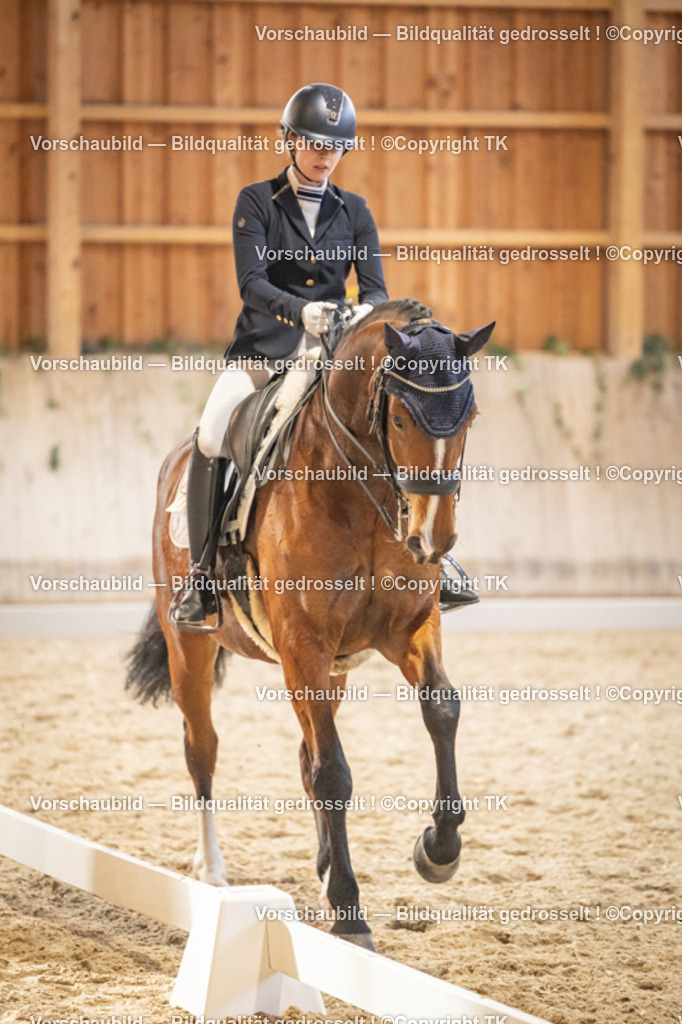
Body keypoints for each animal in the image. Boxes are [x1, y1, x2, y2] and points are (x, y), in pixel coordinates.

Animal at [126, 298, 494, 950]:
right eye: (401, 419)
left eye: (470, 417)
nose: (434, 540)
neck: (362, 497)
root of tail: (175, 460)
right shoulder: (303, 645)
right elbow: (333, 773)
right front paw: (350, 913)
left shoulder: (409, 628)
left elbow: (442, 709)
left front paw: (438, 850)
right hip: (191, 650)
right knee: (203, 749)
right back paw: (212, 872)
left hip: (336, 669)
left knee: (303, 753)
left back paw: (323, 870)